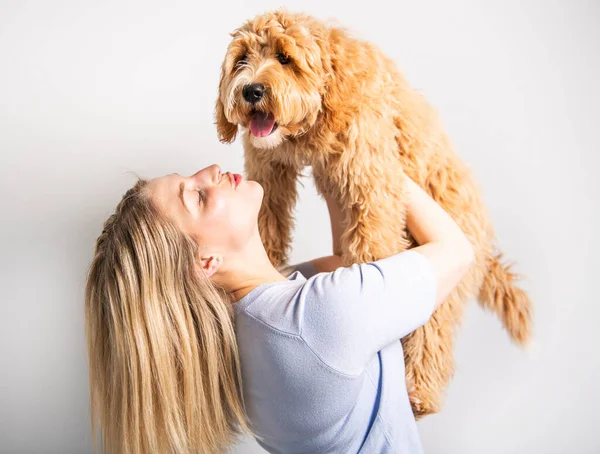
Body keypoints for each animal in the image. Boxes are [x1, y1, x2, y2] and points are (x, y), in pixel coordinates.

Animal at [213, 7, 532, 418]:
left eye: (285, 58)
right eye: (242, 60)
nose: (251, 90)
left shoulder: (372, 181)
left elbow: (373, 247)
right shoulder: (269, 170)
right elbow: (267, 216)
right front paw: (268, 261)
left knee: (436, 327)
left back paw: (420, 391)